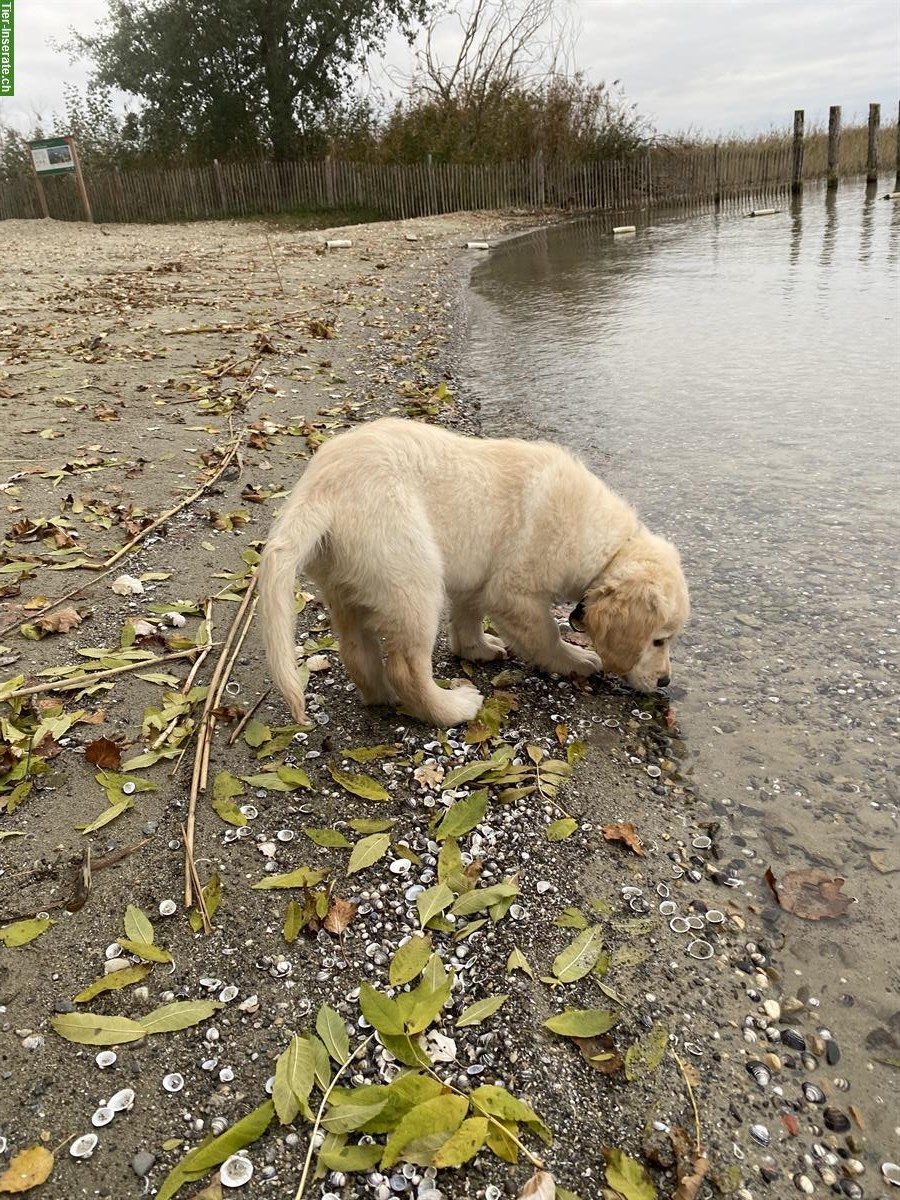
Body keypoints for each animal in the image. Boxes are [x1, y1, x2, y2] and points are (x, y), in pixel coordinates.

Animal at [256, 417, 696, 724]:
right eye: (658, 641)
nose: (664, 682)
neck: (606, 545)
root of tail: (319, 490)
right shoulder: (515, 592)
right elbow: (547, 636)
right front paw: (575, 658)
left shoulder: (478, 578)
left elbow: (468, 615)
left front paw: (476, 649)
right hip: (412, 574)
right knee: (406, 668)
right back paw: (453, 708)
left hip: (347, 584)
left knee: (357, 651)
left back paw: (382, 696)